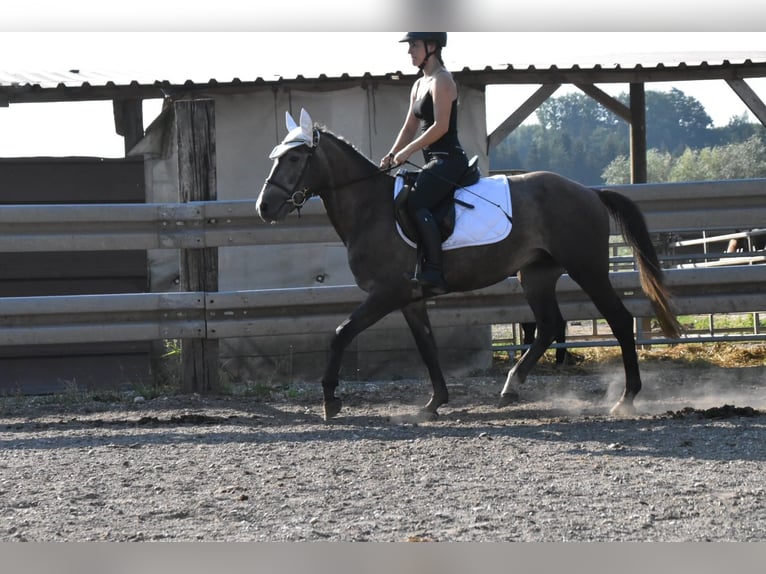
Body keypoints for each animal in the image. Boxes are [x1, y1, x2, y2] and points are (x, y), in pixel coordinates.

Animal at [256, 109, 681, 421]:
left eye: (295, 157)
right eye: (275, 156)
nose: (264, 207)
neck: (370, 208)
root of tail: (589, 191)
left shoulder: (387, 293)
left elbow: (341, 332)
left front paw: (330, 400)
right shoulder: (410, 298)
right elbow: (426, 346)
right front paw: (434, 403)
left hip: (587, 269)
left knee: (619, 320)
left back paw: (626, 398)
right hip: (536, 274)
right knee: (548, 326)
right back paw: (511, 387)